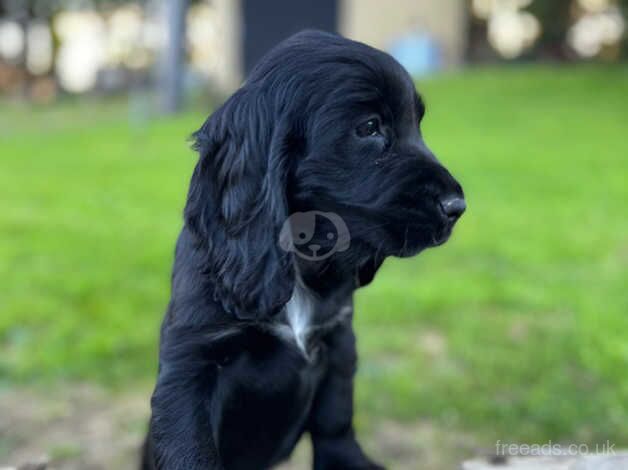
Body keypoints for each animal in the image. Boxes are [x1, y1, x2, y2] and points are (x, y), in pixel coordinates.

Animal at [144, 30, 466, 470]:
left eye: (416, 125)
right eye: (369, 127)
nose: (457, 207)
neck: (299, 261)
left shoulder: (338, 340)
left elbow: (336, 417)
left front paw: (347, 461)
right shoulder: (191, 359)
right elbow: (190, 448)